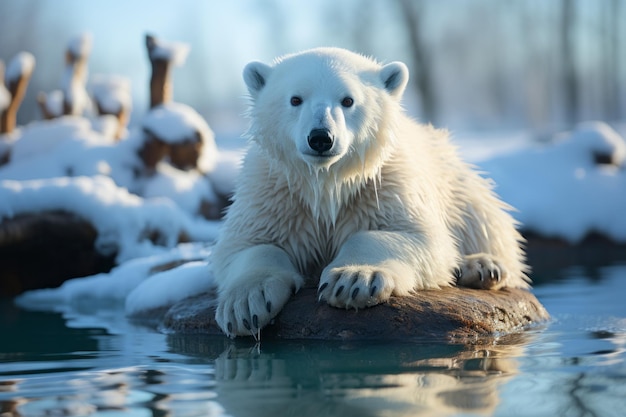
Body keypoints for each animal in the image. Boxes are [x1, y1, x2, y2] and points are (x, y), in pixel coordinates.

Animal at [212, 47, 528, 336]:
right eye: (295, 99)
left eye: (348, 100)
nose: (321, 138)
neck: (326, 181)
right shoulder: (274, 191)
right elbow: (248, 245)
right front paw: (245, 304)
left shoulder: (385, 184)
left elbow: (420, 237)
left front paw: (353, 278)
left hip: (458, 184)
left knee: (486, 225)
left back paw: (483, 266)